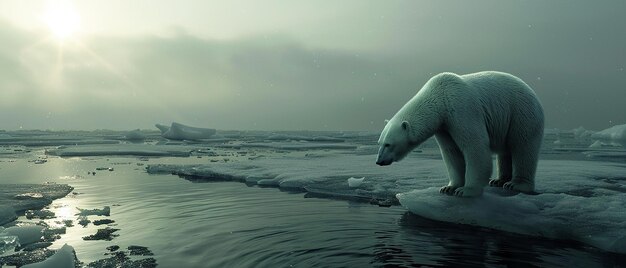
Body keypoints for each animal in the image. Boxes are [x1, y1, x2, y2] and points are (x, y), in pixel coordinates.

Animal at [376, 71, 540, 197]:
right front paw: (448, 187)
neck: (440, 97)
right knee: (505, 151)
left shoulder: (461, 109)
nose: (379, 161)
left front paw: (466, 190)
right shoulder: (444, 126)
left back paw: (516, 184)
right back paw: (499, 180)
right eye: (379, 143)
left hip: (521, 113)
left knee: (523, 146)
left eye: (388, 144)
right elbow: (452, 152)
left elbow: (475, 147)